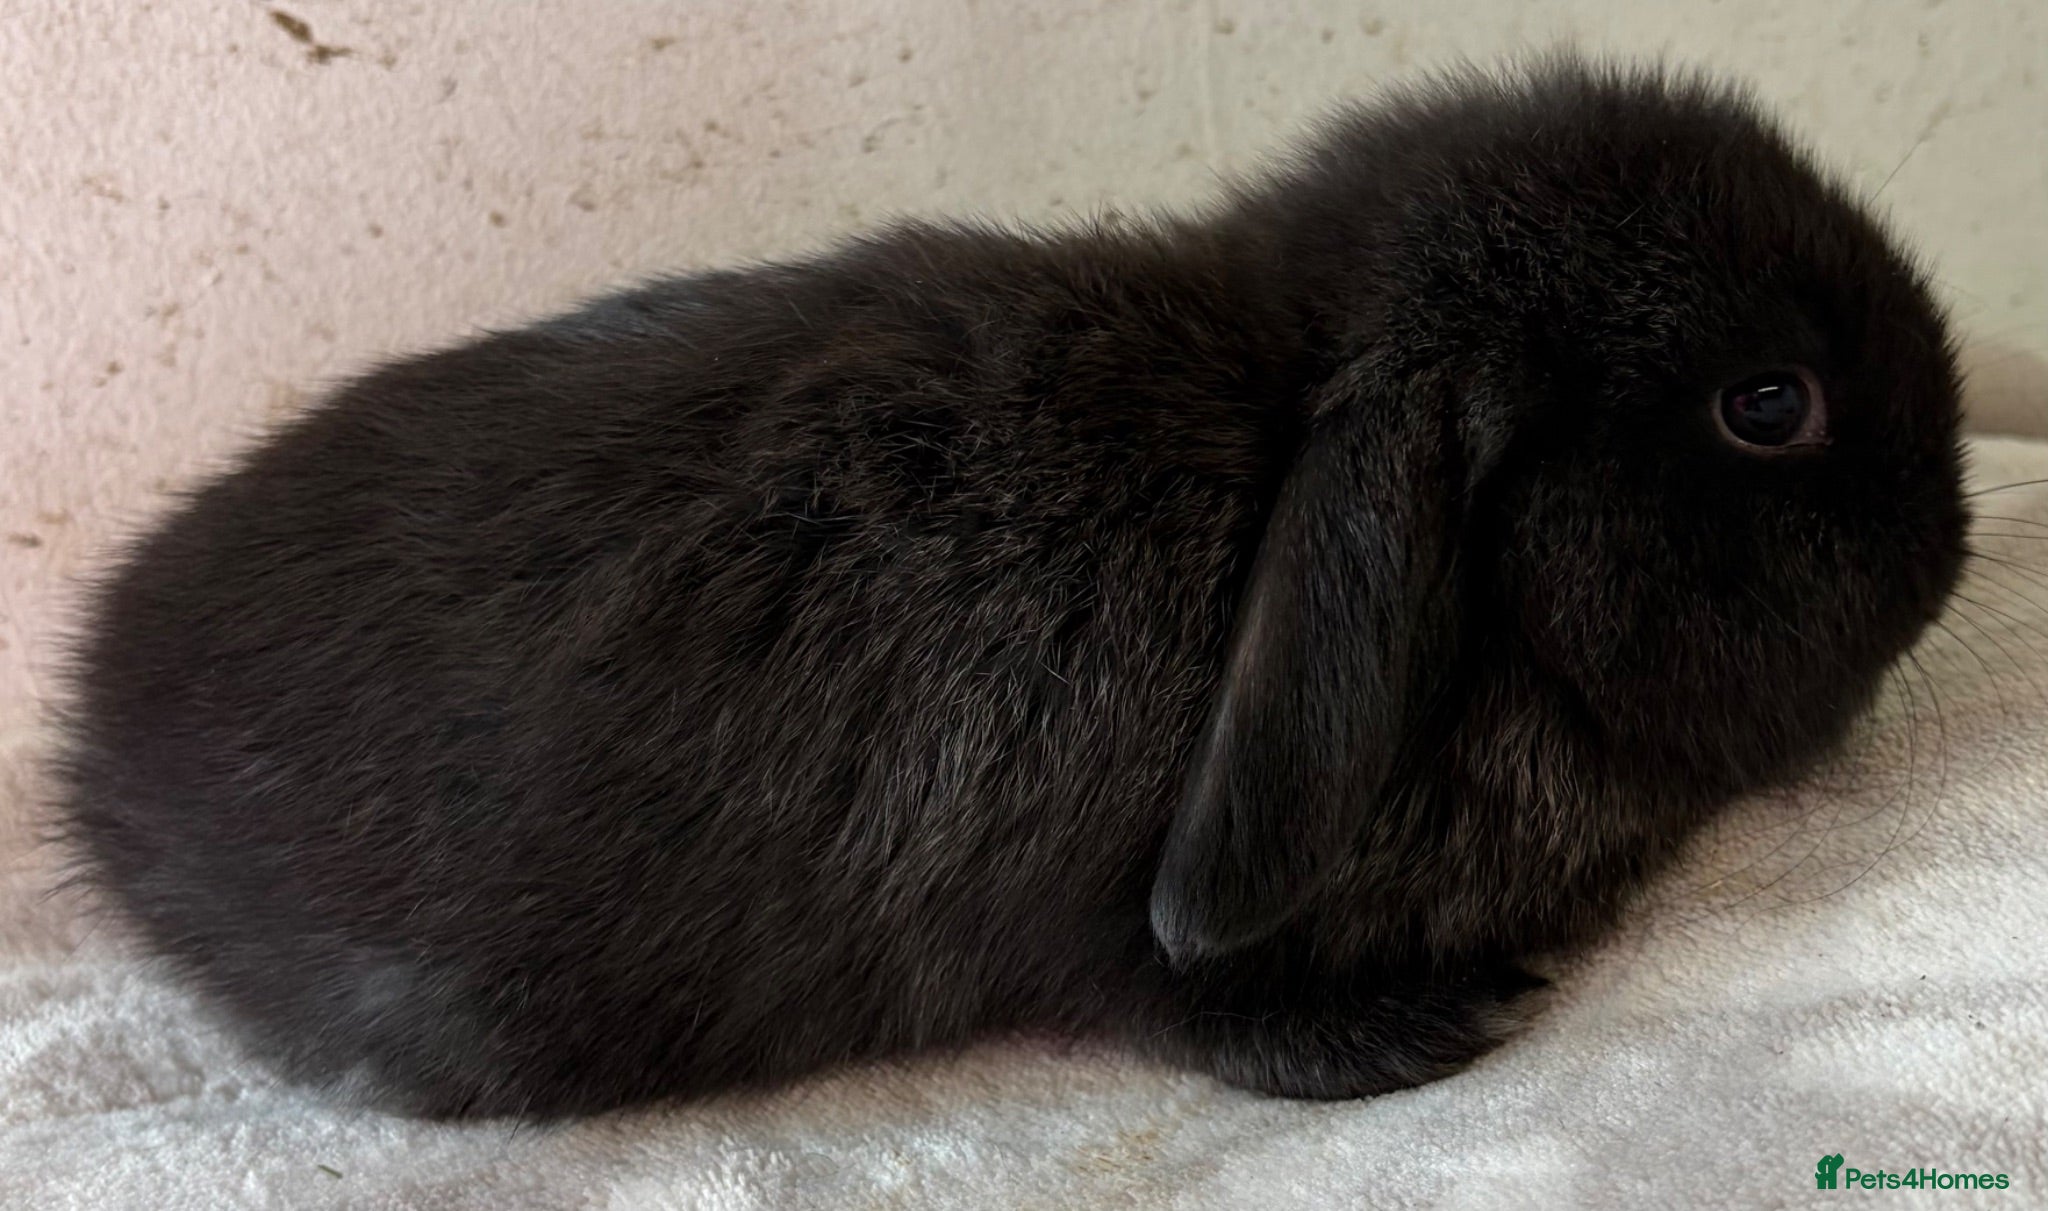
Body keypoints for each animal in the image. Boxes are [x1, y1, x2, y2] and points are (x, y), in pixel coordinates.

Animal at [51, 56, 1968, 1121]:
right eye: (1769, 404)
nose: (1953, 538)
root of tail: (90, 727)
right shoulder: (1116, 941)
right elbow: (1185, 1005)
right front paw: (1432, 1022)